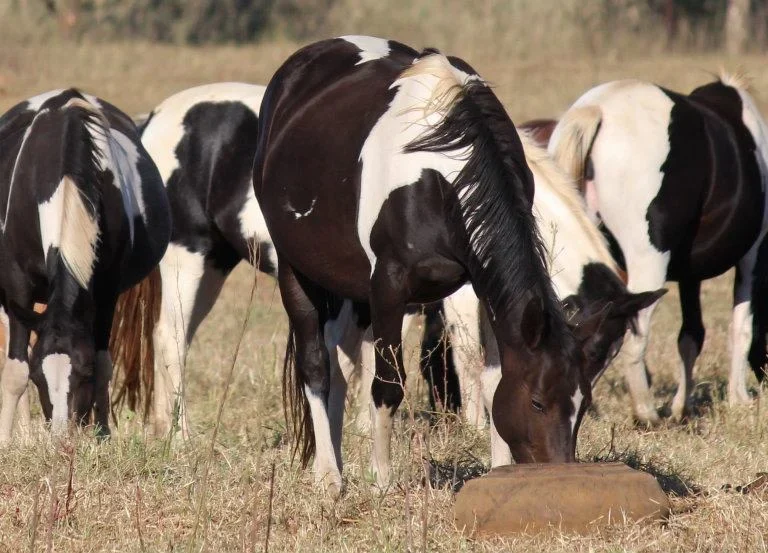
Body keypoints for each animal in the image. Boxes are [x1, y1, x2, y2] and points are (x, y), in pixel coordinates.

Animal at [0, 88, 170, 442]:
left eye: (83, 373)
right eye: (39, 377)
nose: (62, 440)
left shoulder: (106, 291)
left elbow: (104, 363)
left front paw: (102, 433)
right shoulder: (18, 288)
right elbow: (15, 370)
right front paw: (5, 442)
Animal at [254, 34, 616, 492]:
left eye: (582, 403)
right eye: (537, 401)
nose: (558, 473)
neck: (437, 173)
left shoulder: (480, 284)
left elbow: (491, 380)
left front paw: (498, 470)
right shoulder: (389, 286)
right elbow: (387, 385)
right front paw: (382, 482)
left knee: (338, 365)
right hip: (295, 269)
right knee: (317, 365)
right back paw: (330, 476)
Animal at [548, 74, 768, 422]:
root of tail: (599, 109)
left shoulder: (691, 275)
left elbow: (691, 336)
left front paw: (682, 406)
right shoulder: (752, 256)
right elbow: (741, 325)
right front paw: (738, 398)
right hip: (647, 265)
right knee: (635, 336)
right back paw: (645, 412)